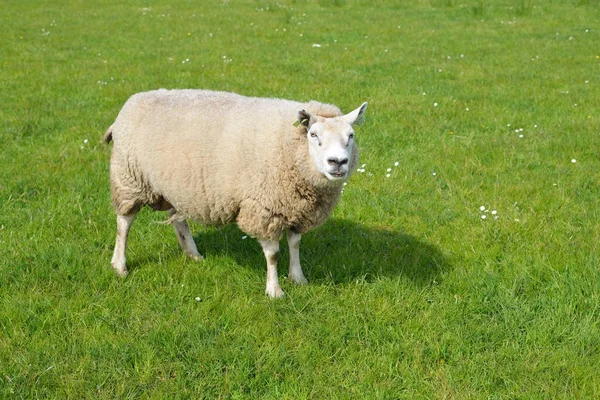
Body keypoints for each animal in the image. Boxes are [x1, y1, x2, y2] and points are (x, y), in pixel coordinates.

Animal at [105, 90, 368, 296]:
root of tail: (132, 101)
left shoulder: (296, 209)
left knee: (178, 220)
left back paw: (193, 254)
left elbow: (295, 245)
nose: (338, 162)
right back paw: (119, 265)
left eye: (351, 136)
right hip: (129, 179)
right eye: (313, 135)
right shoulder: (265, 208)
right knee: (124, 223)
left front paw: (298, 278)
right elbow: (273, 254)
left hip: (172, 184)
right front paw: (275, 290)